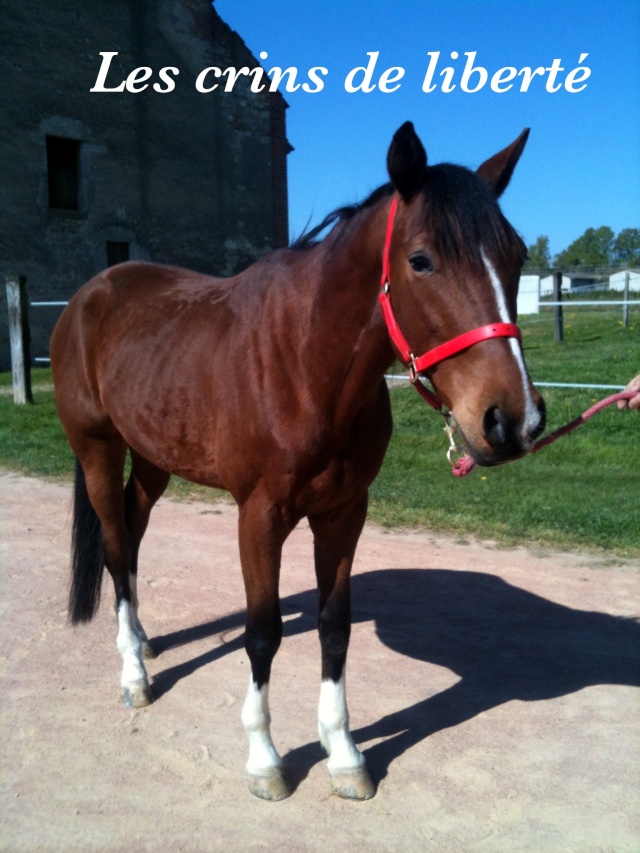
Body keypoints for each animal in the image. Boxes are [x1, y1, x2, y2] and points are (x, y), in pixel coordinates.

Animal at [51, 123, 544, 804]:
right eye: (420, 260)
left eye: (516, 254)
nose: (512, 421)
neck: (306, 364)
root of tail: (87, 296)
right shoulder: (259, 516)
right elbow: (263, 633)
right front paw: (265, 760)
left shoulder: (343, 512)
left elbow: (334, 626)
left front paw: (344, 755)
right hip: (98, 449)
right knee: (117, 548)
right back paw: (133, 674)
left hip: (152, 460)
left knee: (130, 537)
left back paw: (146, 644)